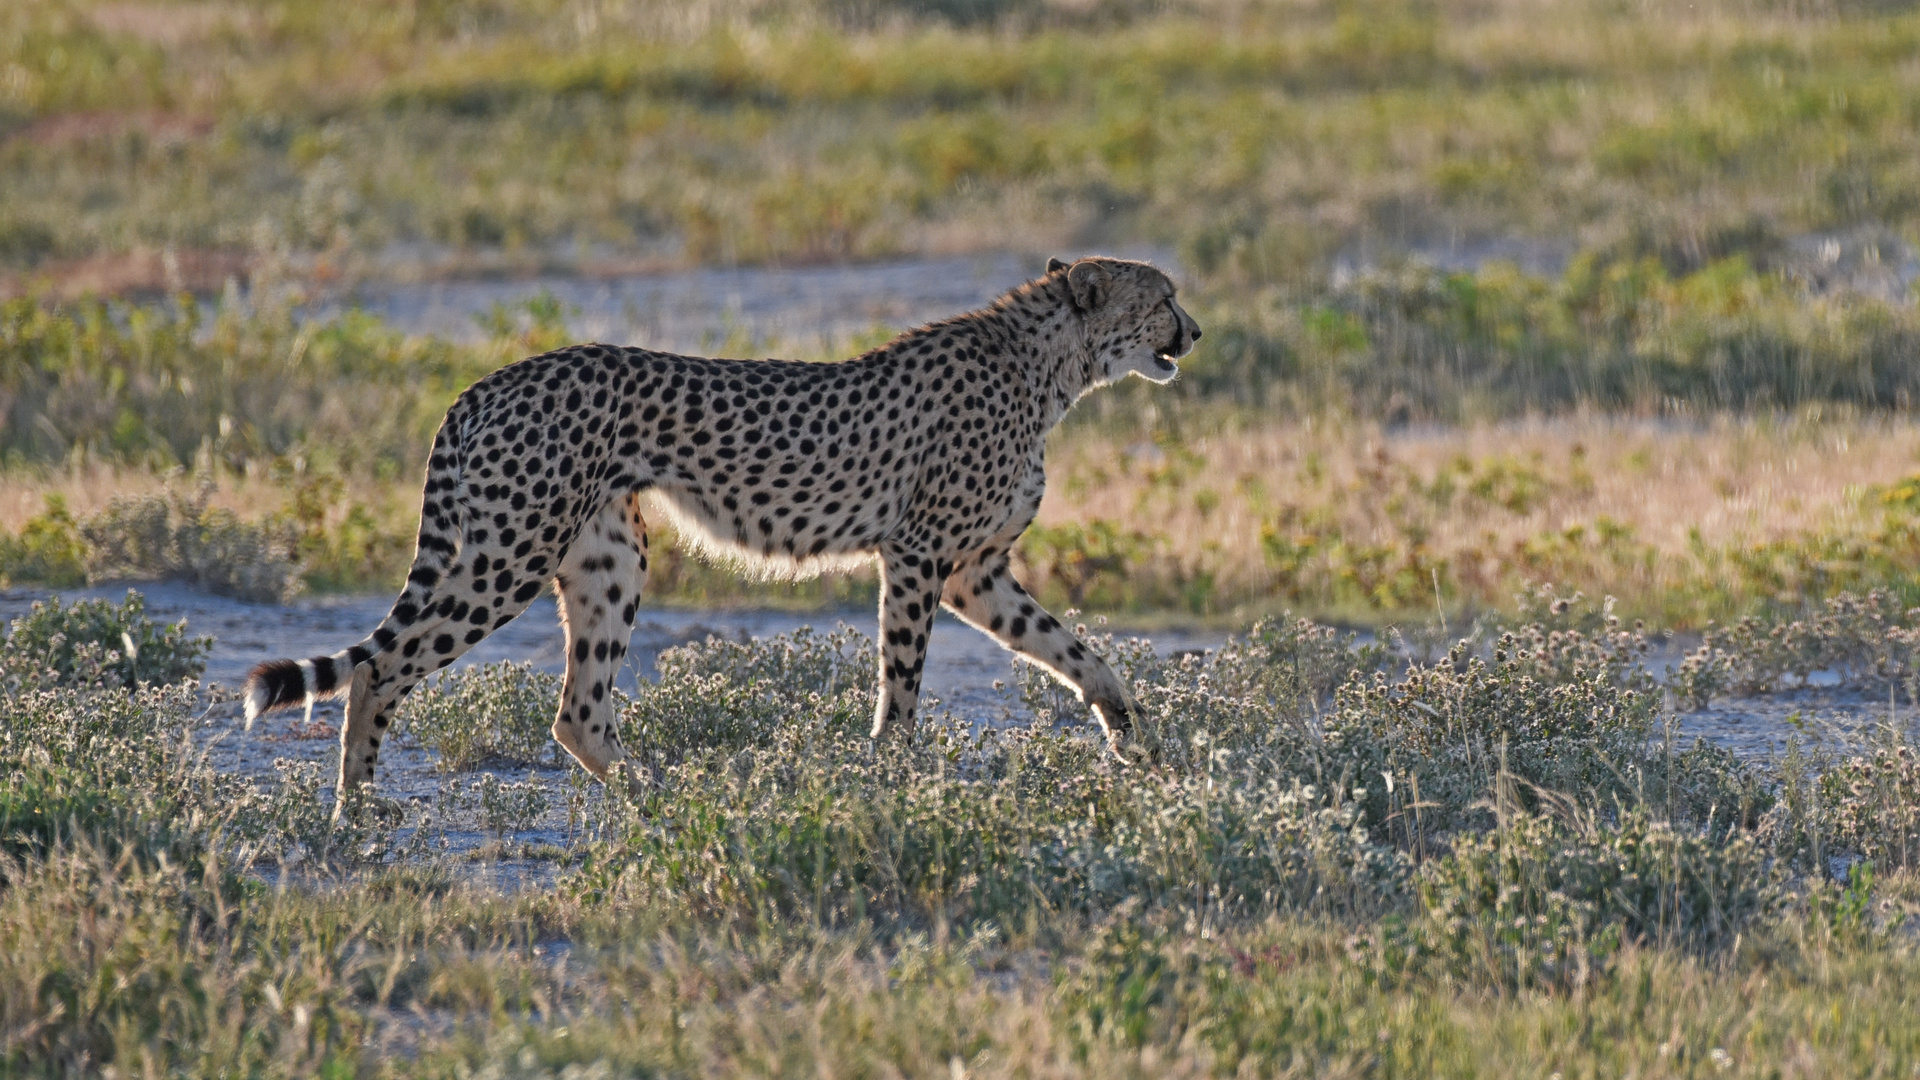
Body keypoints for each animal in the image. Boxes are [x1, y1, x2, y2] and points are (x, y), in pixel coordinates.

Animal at [240, 251, 1198, 791]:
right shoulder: (920, 555)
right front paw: (893, 775)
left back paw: (665, 804)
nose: (1193, 332)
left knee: (576, 713)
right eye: (1163, 298)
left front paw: (1132, 739)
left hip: (608, 558)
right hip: (511, 551)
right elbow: (902, 684)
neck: (1052, 367)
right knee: (381, 669)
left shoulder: (976, 571)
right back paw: (358, 815)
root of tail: (492, 379)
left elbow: (1077, 651)